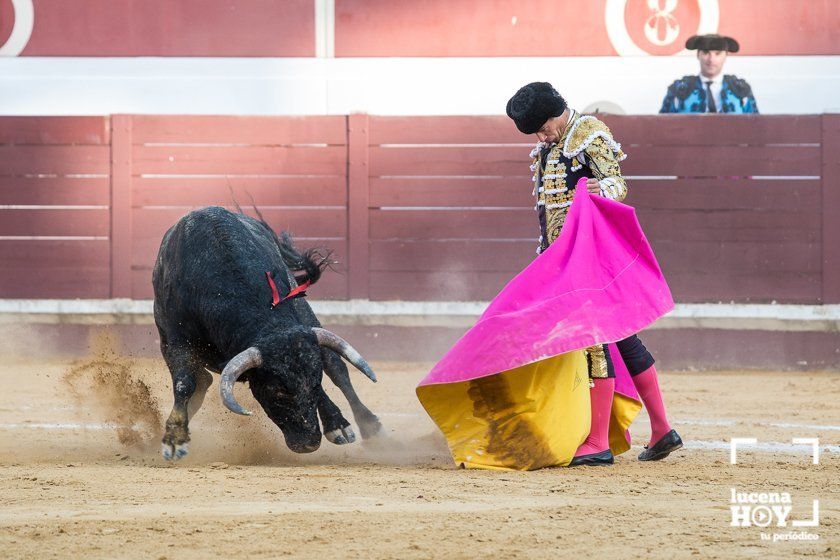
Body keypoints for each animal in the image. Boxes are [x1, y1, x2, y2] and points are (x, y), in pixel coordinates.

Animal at [153, 206, 382, 460]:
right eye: (277, 390)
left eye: (315, 381)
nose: (310, 443)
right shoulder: (173, 340)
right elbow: (185, 384)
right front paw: (175, 438)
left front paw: (337, 424)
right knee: (202, 381)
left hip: (307, 315)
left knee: (337, 368)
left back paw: (364, 426)